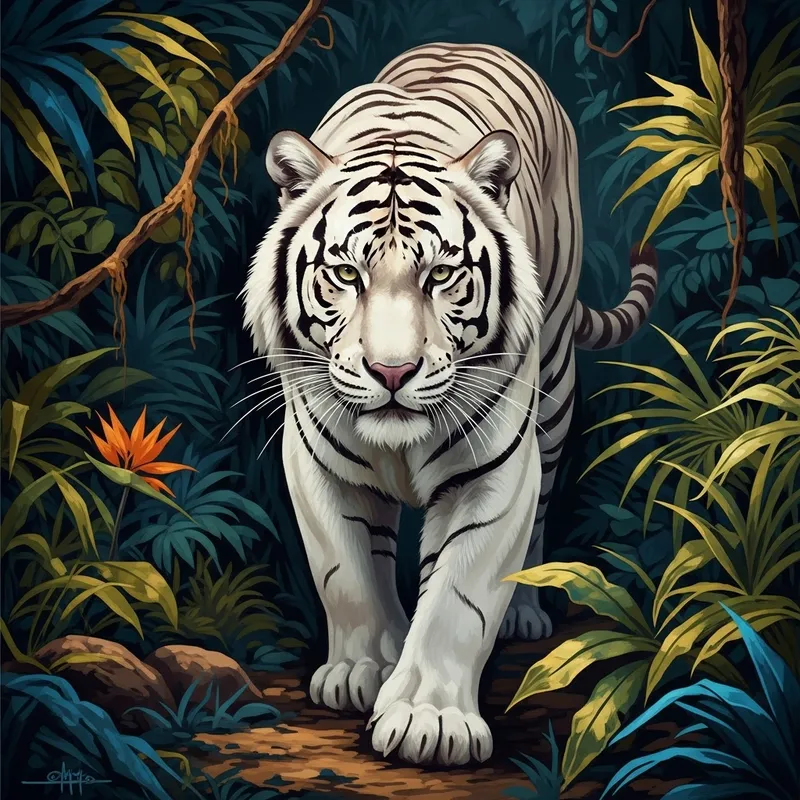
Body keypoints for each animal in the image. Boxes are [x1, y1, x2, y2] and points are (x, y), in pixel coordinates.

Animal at [242, 43, 658, 766]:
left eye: (440, 275)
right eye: (346, 274)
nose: (392, 370)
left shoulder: (493, 470)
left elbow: (459, 597)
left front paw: (429, 719)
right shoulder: (317, 459)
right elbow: (346, 571)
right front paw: (360, 670)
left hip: (554, 390)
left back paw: (523, 613)